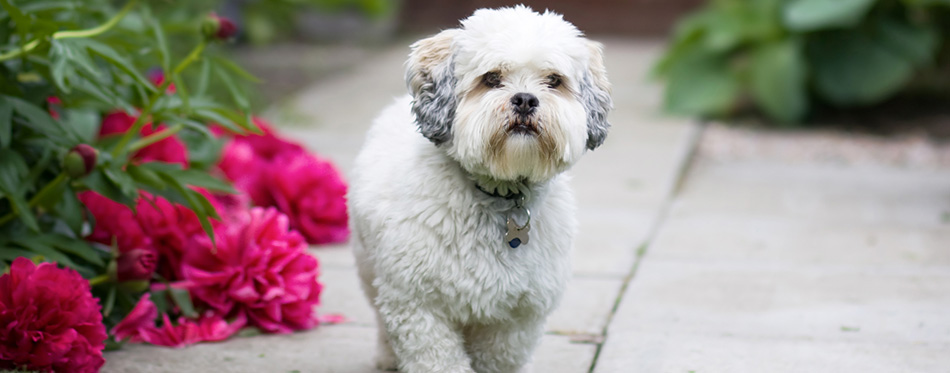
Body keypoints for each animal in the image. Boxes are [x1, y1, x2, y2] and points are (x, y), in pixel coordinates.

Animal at [348, 6, 608, 372]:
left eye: (554, 80)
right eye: (492, 78)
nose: (525, 99)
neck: (499, 194)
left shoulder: (517, 318)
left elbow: (499, 356)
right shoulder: (417, 306)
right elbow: (438, 359)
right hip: (369, 267)